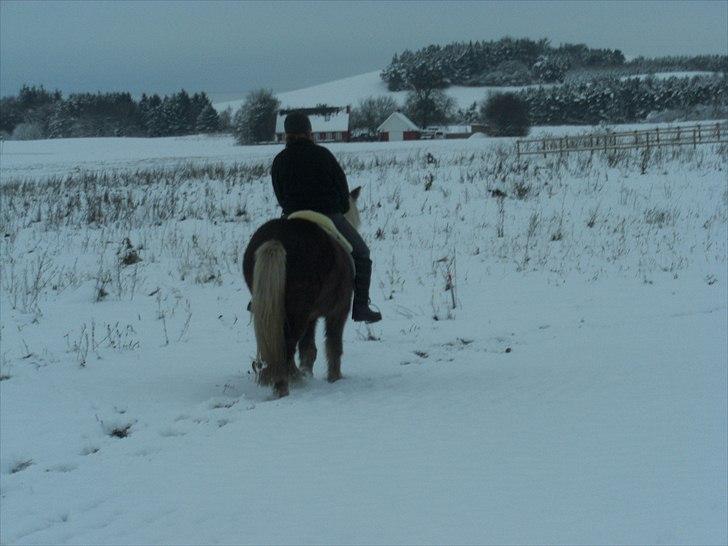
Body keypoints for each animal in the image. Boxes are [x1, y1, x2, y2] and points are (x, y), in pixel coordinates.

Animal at [242, 186, 362, 396]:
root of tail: (275, 240)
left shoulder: (311, 317)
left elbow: (308, 349)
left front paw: (308, 374)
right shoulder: (339, 311)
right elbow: (333, 346)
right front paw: (335, 378)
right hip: (298, 311)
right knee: (287, 348)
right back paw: (284, 387)